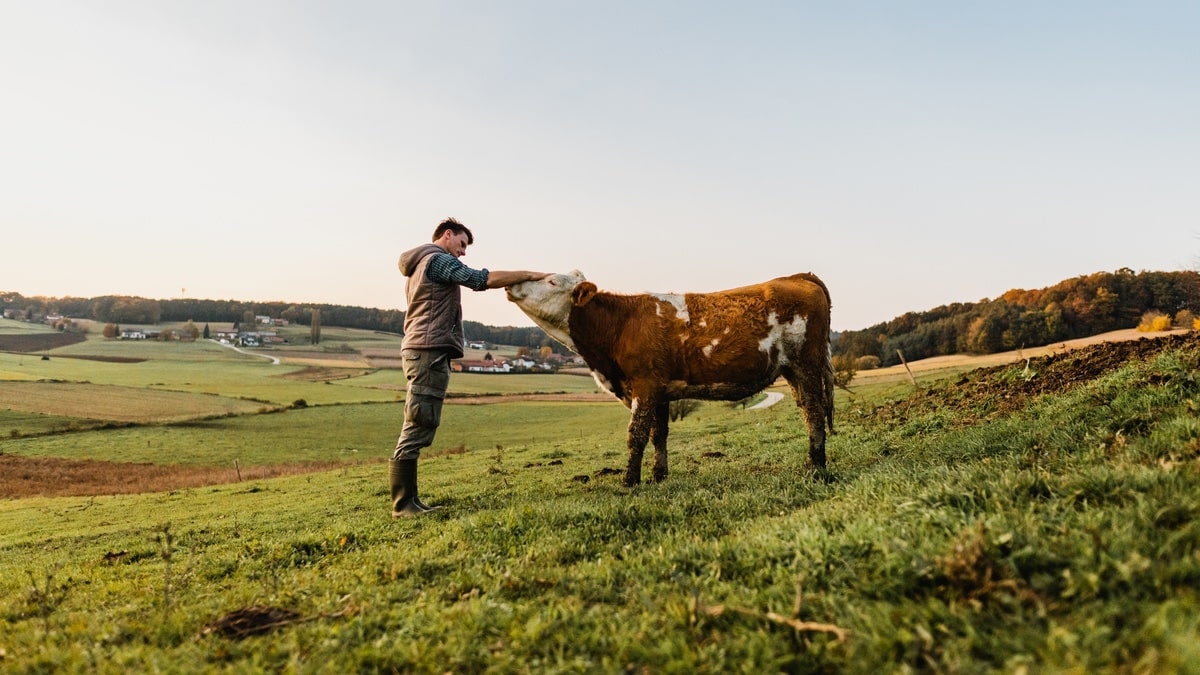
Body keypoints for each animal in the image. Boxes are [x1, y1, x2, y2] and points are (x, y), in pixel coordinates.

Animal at [506, 267, 835, 482]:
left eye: (551, 281)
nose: (512, 285)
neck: (619, 325)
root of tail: (797, 276)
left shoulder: (644, 385)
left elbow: (636, 434)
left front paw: (630, 481)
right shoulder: (660, 391)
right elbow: (658, 435)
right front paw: (658, 476)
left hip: (806, 364)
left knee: (815, 412)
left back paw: (817, 468)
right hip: (792, 370)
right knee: (807, 411)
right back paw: (811, 462)